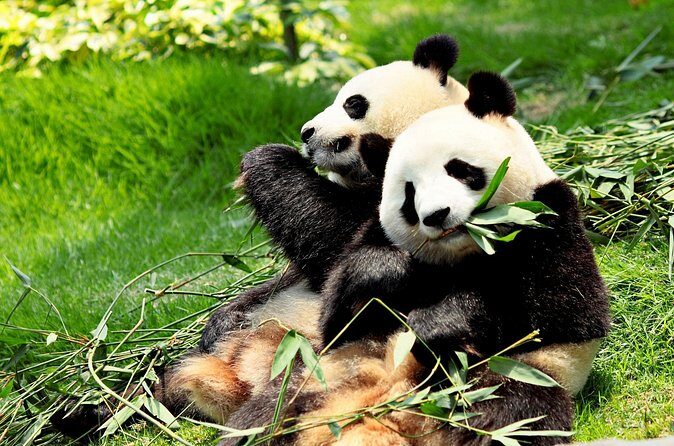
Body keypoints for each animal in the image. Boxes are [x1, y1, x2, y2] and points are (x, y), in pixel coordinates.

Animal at [217, 72, 610, 446]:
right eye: (409, 193)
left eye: (460, 169)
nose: (437, 215)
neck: (464, 254)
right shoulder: (373, 234)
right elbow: (337, 316)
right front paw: (385, 273)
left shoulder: (548, 218)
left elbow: (559, 315)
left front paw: (440, 323)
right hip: (322, 374)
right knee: (266, 417)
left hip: (508, 377)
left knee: (507, 413)